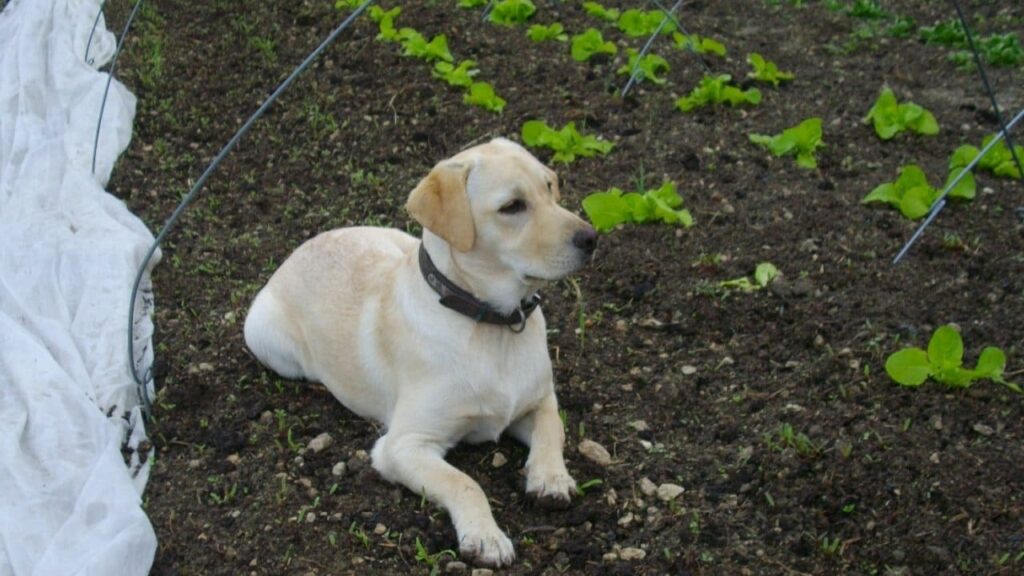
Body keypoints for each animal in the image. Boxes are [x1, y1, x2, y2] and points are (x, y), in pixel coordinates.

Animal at [243, 136, 598, 561]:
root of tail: (305, 244)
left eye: (549, 186)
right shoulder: (402, 446)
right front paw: (486, 536)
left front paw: (551, 478)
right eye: (512, 206)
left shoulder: (538, 399)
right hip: (266, 337)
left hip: (399, 238)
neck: (491, 325)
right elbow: (465, 483)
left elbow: (552, 428)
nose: (592, 238)